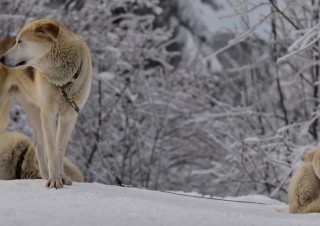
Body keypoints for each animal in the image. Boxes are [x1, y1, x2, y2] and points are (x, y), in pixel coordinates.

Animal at [0, 19, 92, 188]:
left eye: (20, 42)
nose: (1, 59)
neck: (62, 81)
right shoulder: (49, 113)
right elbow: (52, 149)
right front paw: (55, 180)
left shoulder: (69, 116)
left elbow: (59, 149)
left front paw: (61, 177)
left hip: (35, 110)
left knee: (38, 143)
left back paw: (44, 175)